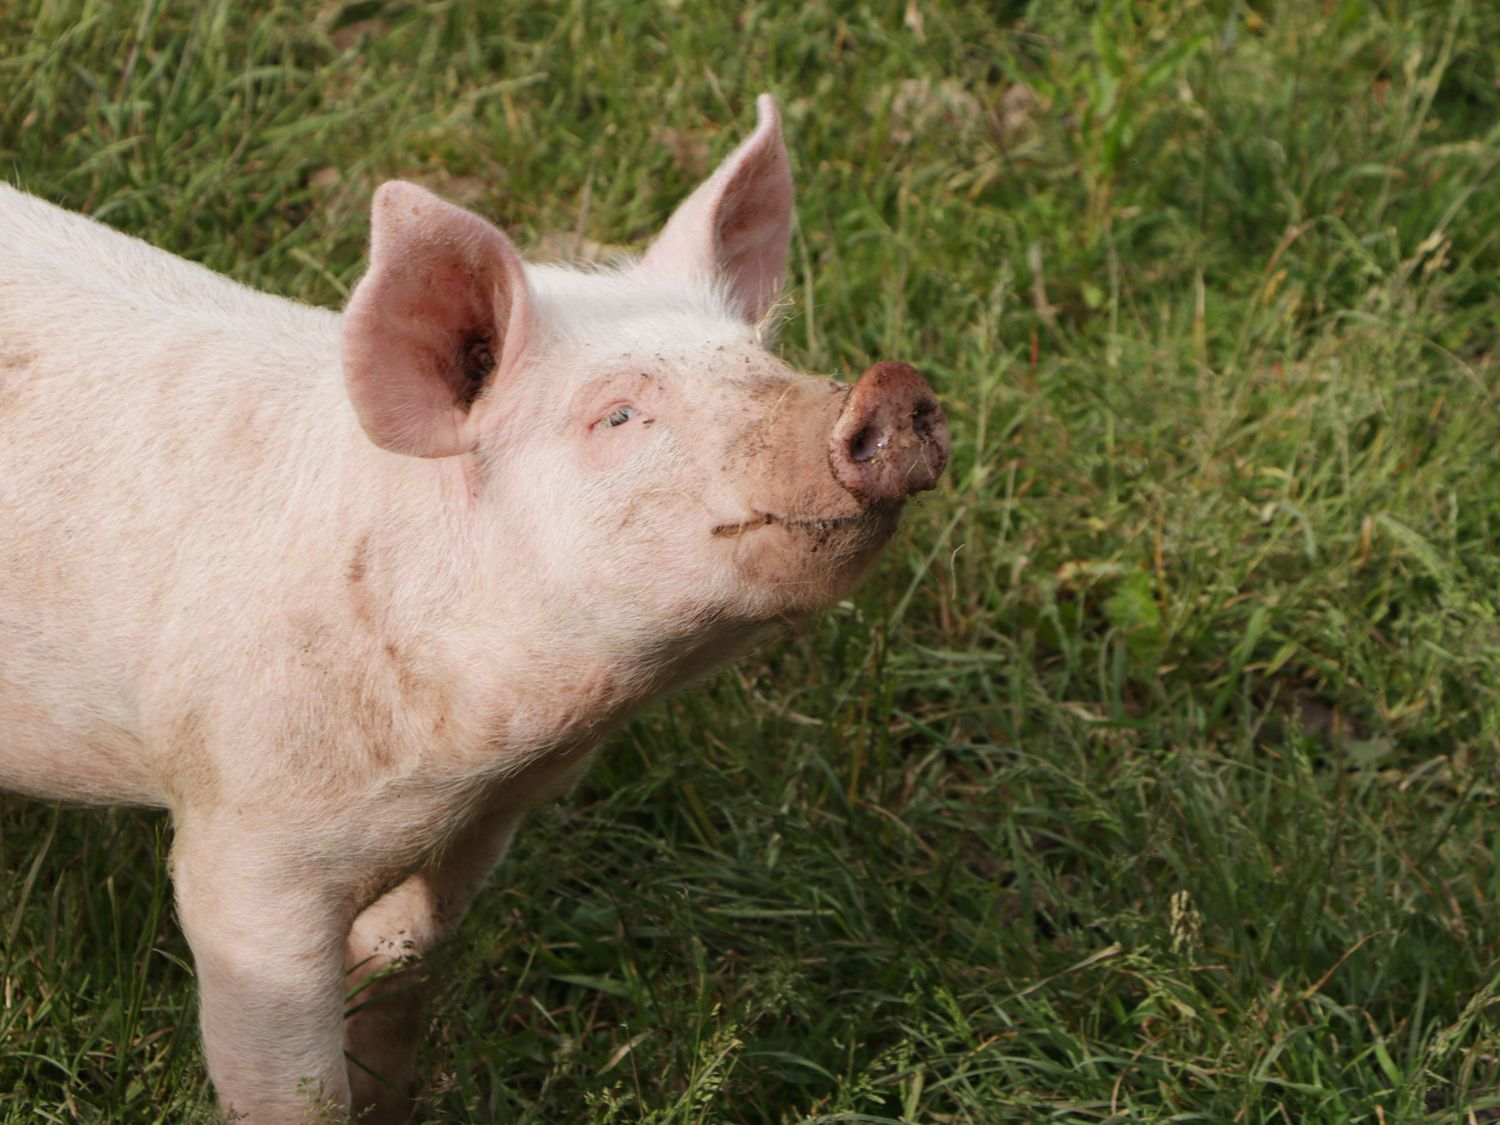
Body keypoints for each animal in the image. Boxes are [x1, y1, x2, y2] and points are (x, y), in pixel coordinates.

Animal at [0, 94, 948, 1122]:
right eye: (618, 415)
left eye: (755, 356)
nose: (890, 386)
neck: (475, 754)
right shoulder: (242, 838)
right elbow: (288, 1072)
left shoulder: (484, 823)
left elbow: (402, 960)